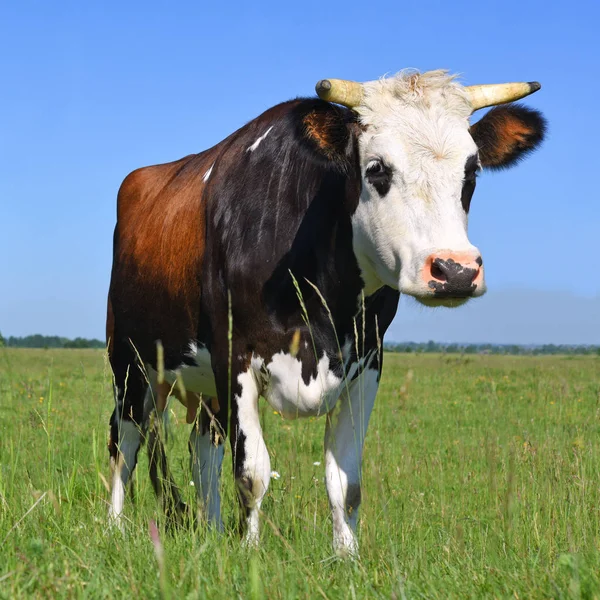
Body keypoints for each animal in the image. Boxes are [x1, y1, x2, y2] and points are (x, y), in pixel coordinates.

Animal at [105, 71, 548, 556]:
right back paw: (115, 525)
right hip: (131, 362)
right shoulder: (234, 358)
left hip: (202, 383)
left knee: (202, 449)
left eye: (472, 171)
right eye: (377, 168)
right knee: (124, 441)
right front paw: (251, 553)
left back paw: (215, 531)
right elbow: (252, 473)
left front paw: (346, 556)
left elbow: (346, 481)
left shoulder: (368, 363)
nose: (455, 270)